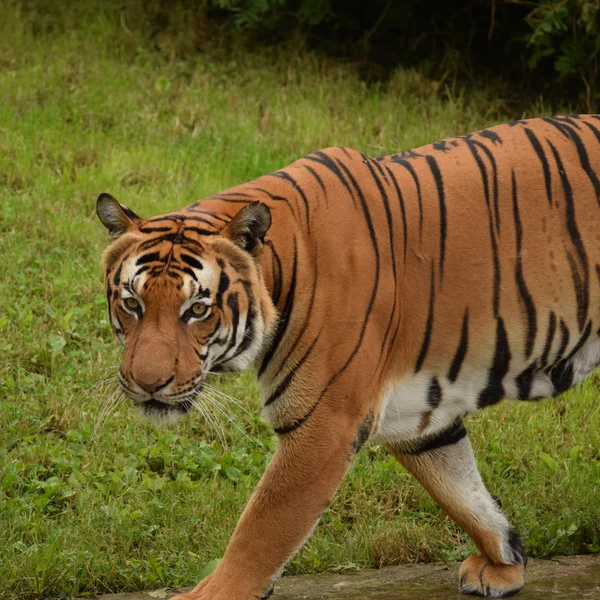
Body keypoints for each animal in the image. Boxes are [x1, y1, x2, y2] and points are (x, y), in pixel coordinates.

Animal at [96, 115, 596, 596]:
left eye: (196, 309)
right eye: (133, 304)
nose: (147, 383)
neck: (284, 265)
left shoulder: (326, 422)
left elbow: (262, 527)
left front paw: (212, 593)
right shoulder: (418, 416)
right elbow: (463, 491)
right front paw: (505, 564)